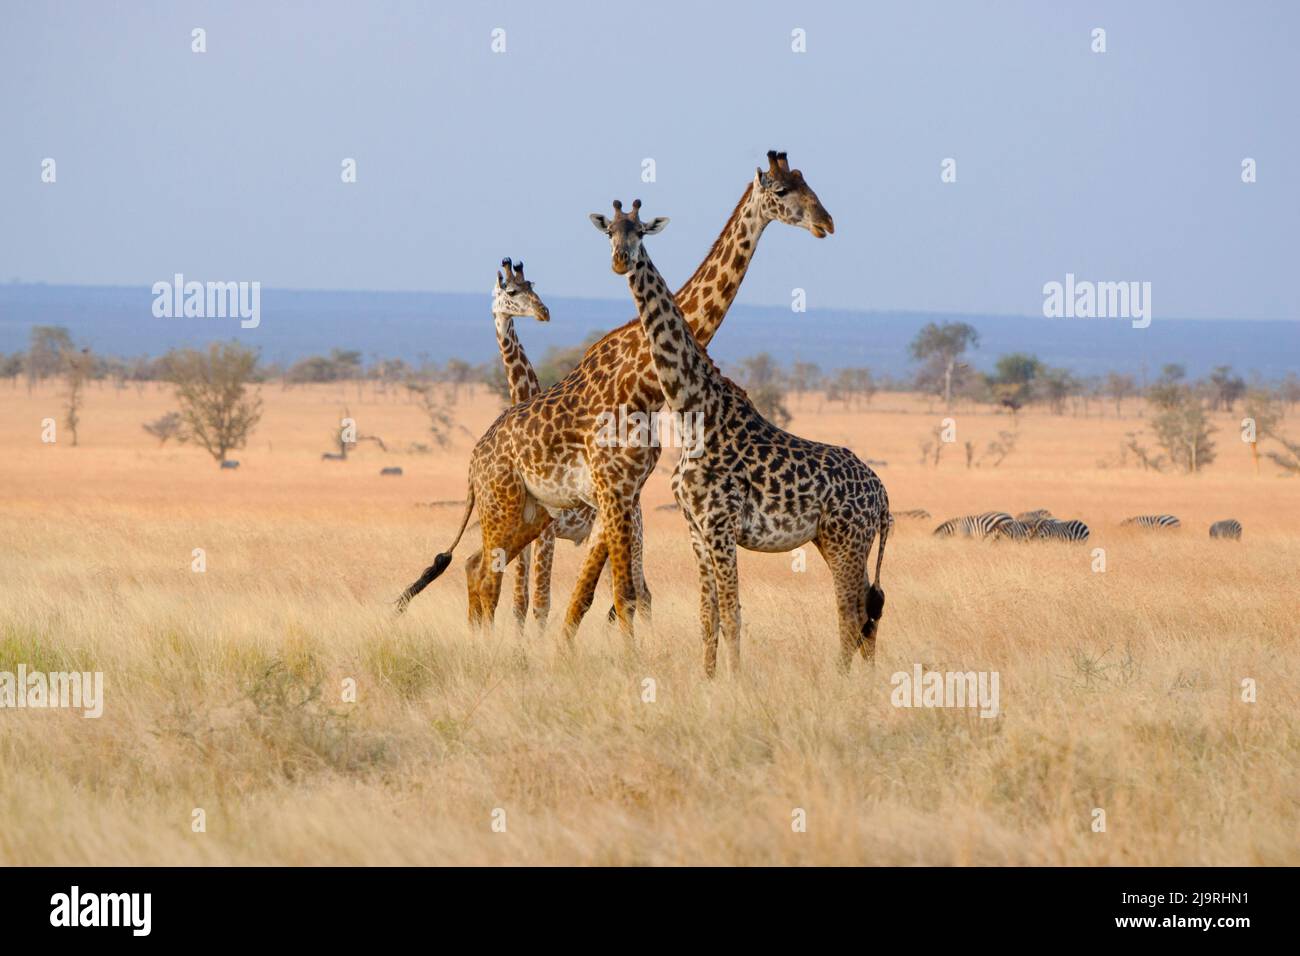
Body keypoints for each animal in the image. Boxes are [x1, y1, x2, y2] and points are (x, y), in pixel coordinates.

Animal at [488, 257, 598, 632]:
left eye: (533, 285)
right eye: (510, 291)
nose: (544, 312)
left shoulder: (547, 535)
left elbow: (541, 604)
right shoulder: (524, 535)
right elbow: (519, 603)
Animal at [595, 196, 889, 671]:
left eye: (639, 231)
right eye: (609, 232)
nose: (621, 260)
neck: (693, 412)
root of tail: (883, 497)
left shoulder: (721, 526)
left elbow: (732, 612)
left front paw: (736, 680)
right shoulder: (696, 530)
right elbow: (707, 615)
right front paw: (710, 679)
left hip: (848, 540)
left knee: (851, 612)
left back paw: (843, 679)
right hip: (835, 541)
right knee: (868, 611)